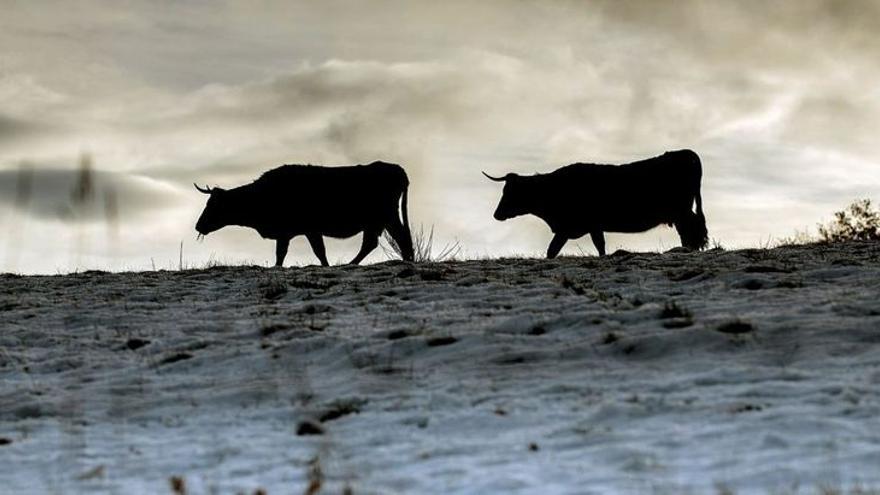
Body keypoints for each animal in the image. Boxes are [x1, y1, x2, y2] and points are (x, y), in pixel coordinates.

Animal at [194, 161, 414, 266]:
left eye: (213, 205)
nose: (198, 226)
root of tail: (398, 169)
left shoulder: (308, 229)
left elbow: (317, 252)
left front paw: (326, 266)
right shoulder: (286, 233)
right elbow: (281, 254)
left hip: (386, 216)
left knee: (398, 237)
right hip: (377, 221)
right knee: (373, 242)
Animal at [484, 150, 712, 260]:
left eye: (509, 193)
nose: (496, 214)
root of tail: (686, 153)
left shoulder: (571, 227)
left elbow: (553, 250)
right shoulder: (590, 227)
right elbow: (597, 245)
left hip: (682, 211)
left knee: (692, 229)